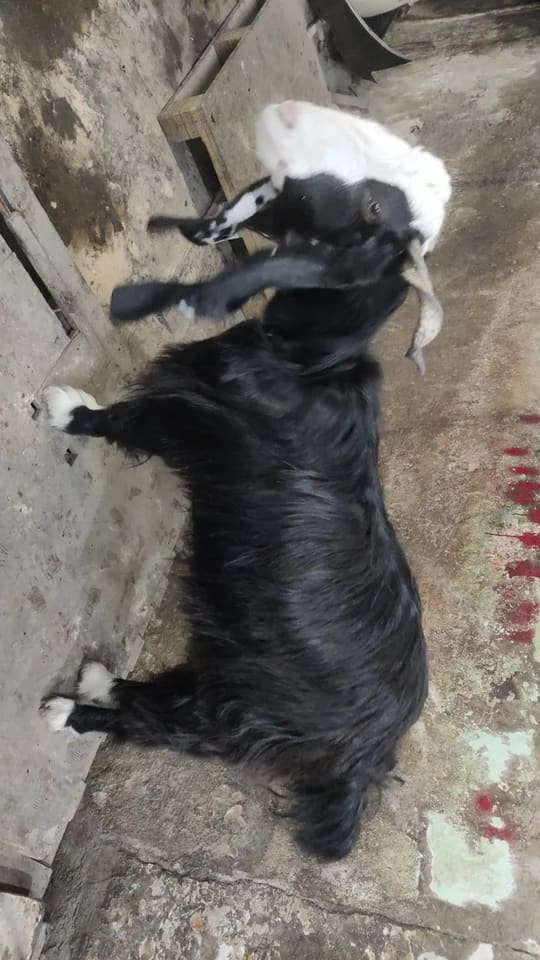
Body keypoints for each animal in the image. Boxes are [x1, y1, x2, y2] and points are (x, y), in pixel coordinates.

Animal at [41, 101, 450, 860]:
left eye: (374, 207)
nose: (288, 113)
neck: (308, 358)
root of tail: (366, 757)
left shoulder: (184, 414)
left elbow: (123, 421)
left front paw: (64, 412)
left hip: (240, 710)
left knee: (169, 727)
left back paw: (72, 709)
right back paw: (103, 679)